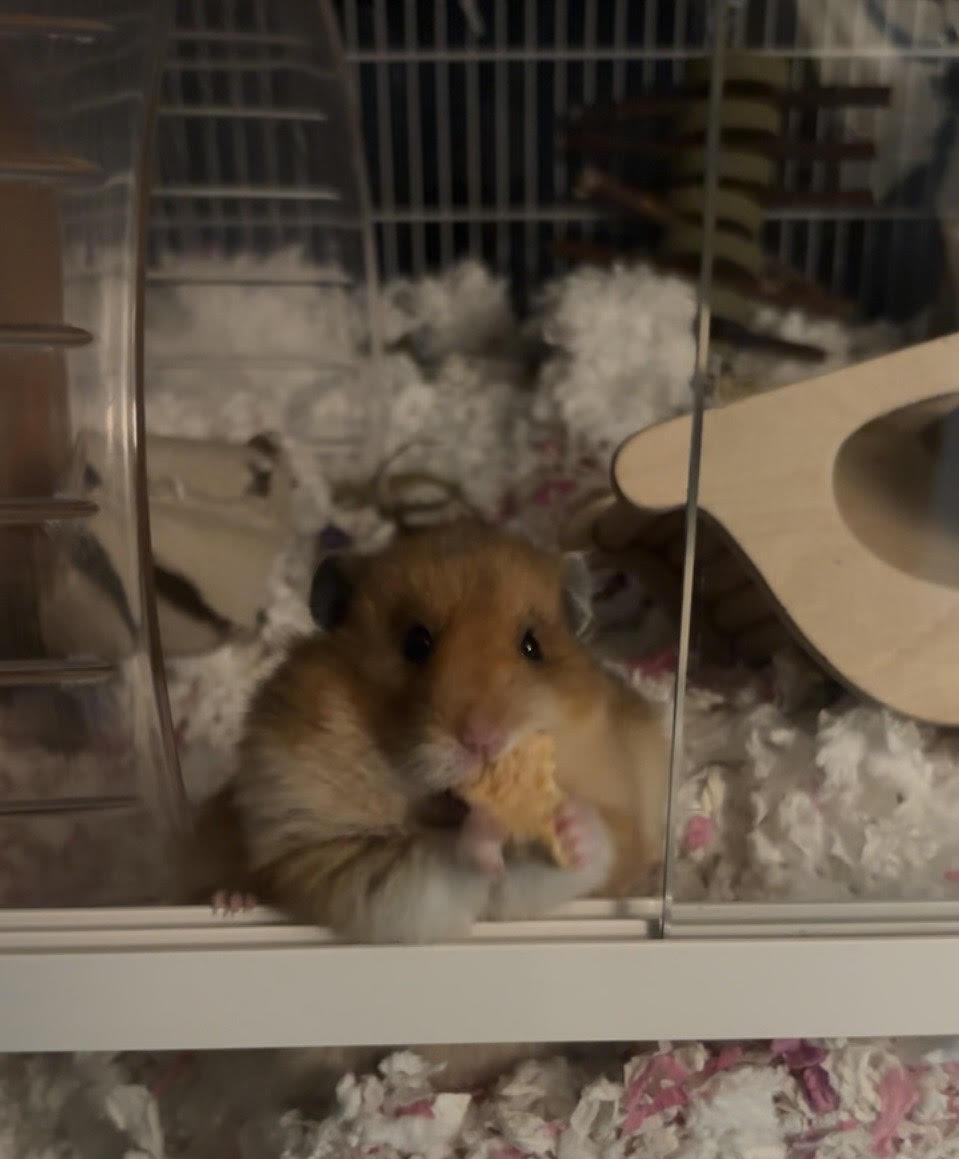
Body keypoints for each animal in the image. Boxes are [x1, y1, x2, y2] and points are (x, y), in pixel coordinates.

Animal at [186, 521, 666, 943]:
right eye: (416, 643)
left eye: (533, 646)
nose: (483, 739)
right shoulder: (328, 855)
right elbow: (437, 862)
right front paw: (485, 828)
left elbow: (562, 863)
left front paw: (571, 824)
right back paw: (232, 901)